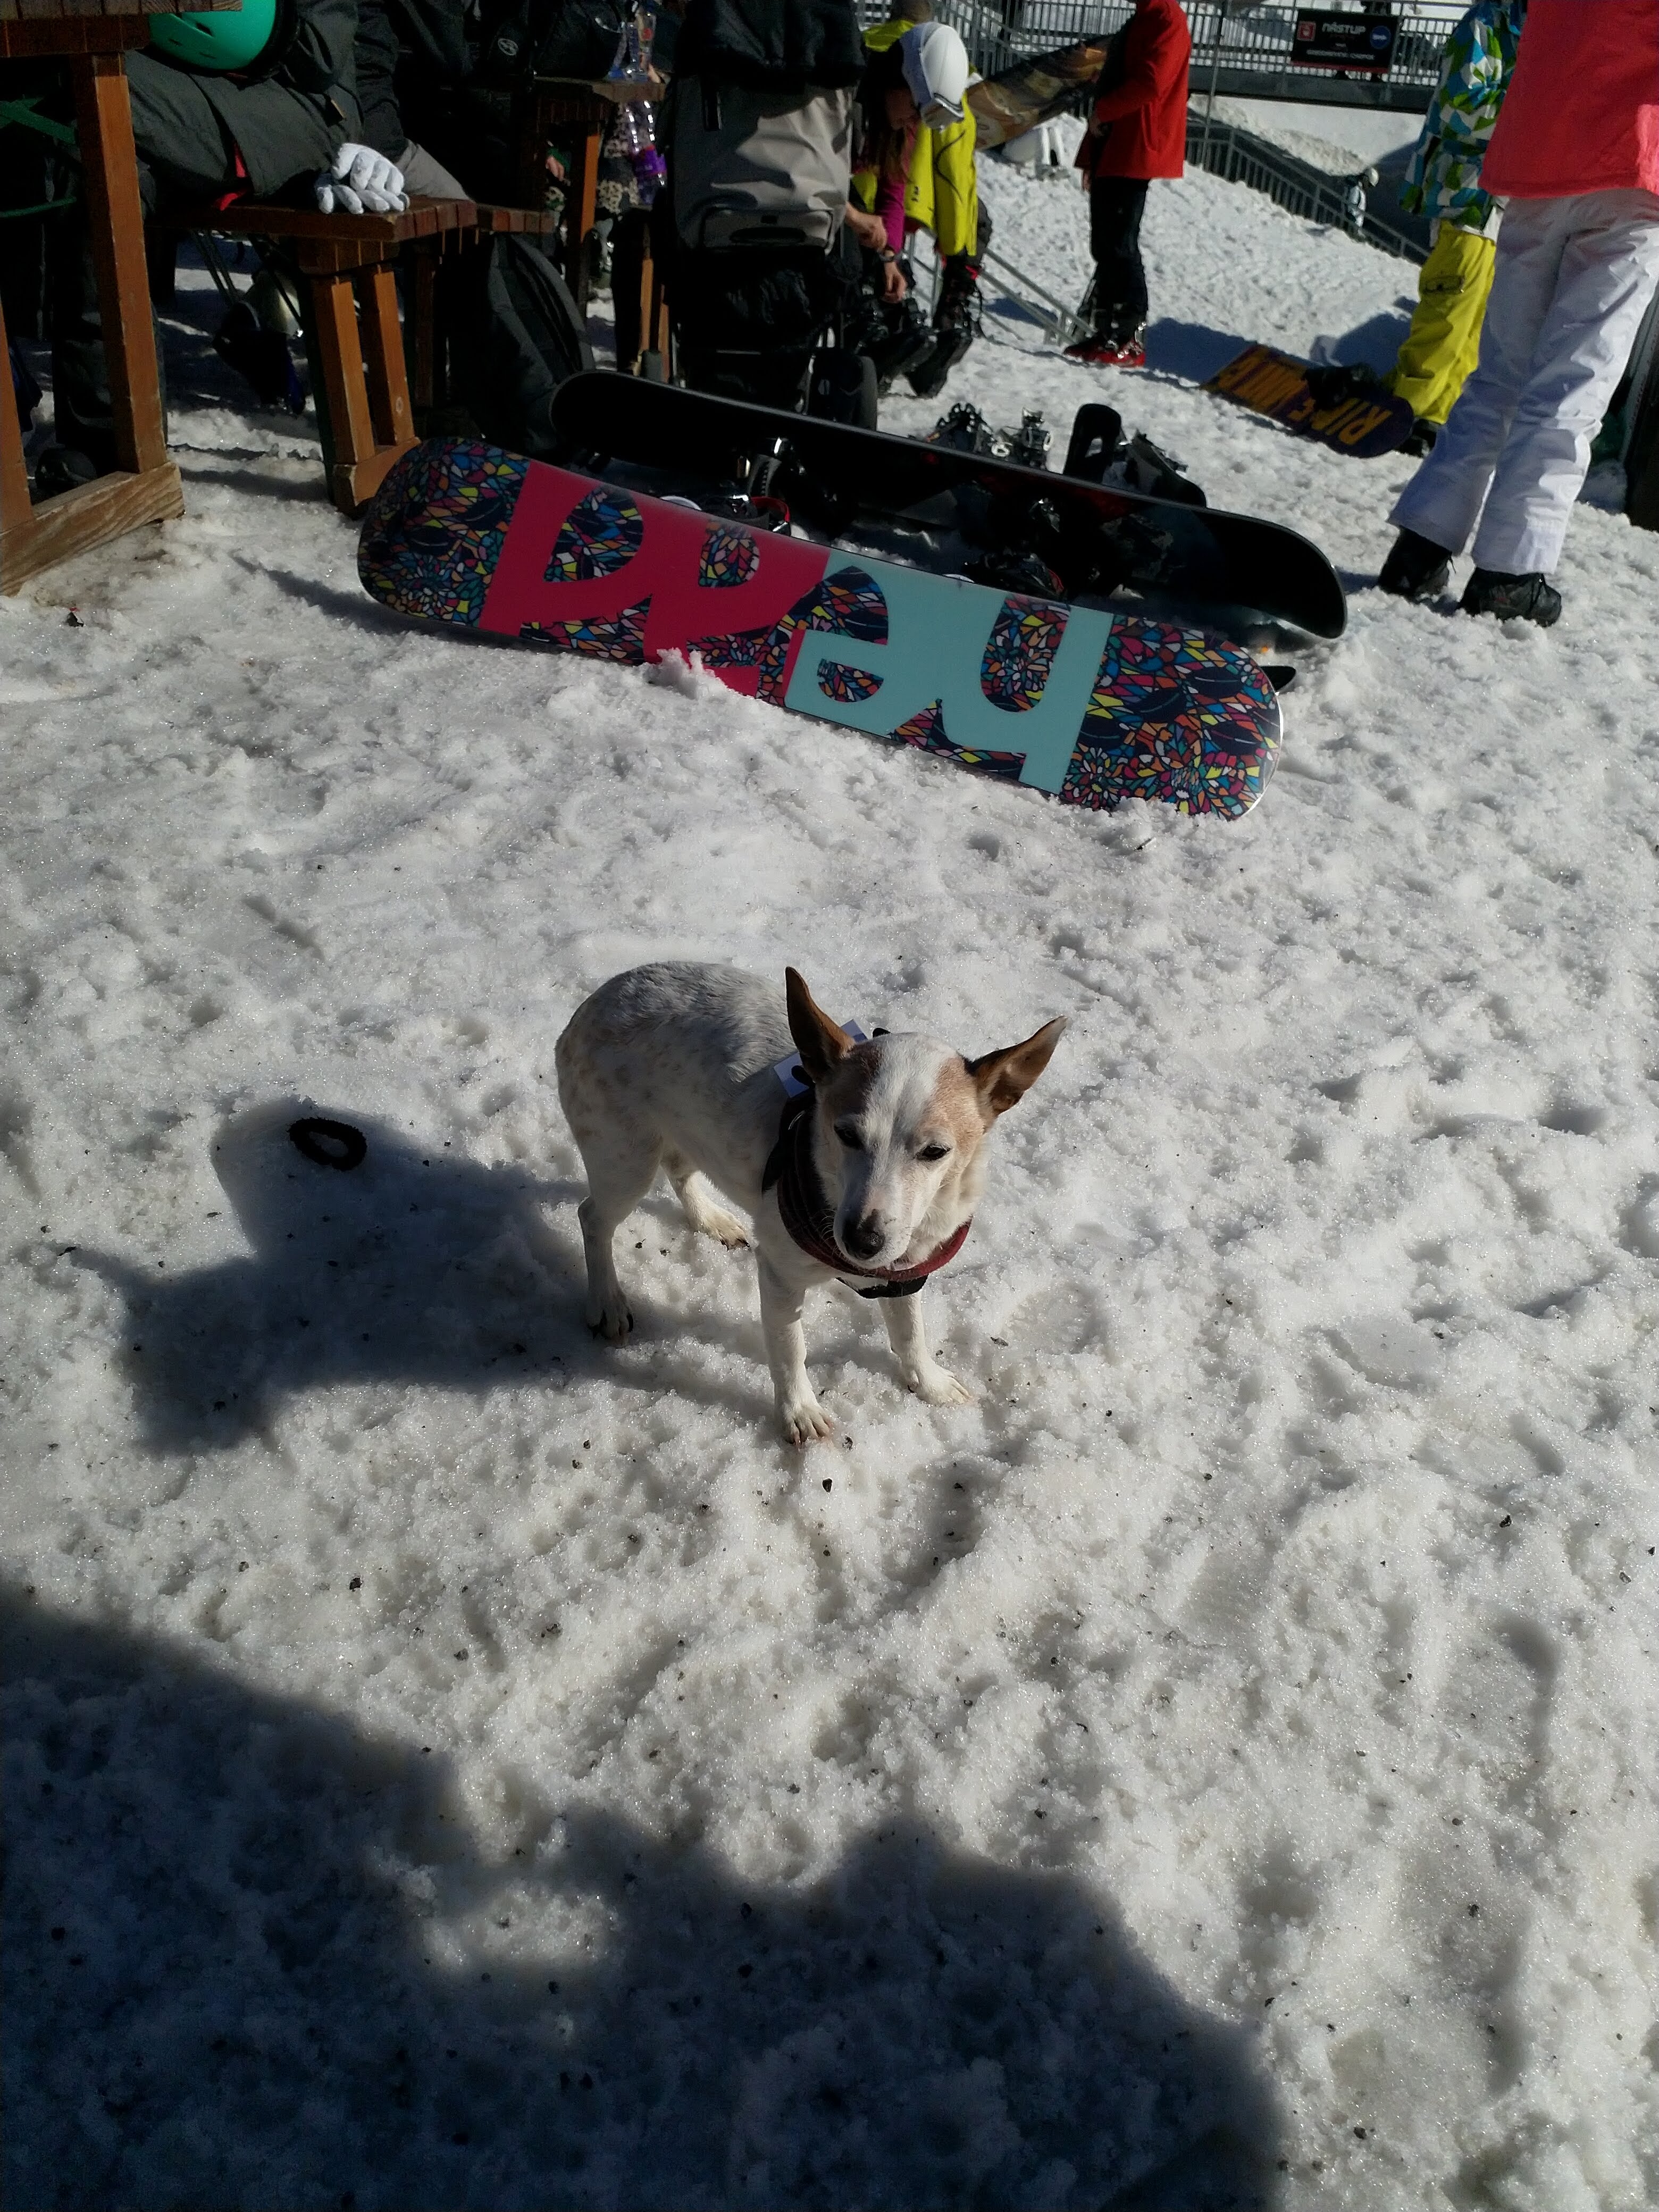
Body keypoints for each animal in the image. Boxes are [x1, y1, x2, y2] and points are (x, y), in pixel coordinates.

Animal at [555, 963, 1064, 1444]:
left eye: (935, 1152)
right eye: (846, 1134)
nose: (863, 1241)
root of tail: (595, 1002)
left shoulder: (905, 1272)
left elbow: (910, 1332)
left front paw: (929, 1383)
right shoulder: (780, 1276)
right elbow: (789, 1349)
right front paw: (798, 1411)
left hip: (683, 1134)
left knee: (680, 1172)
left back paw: (712, 1220)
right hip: (625, 1161)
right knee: (593, 1217)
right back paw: (607, 1300)